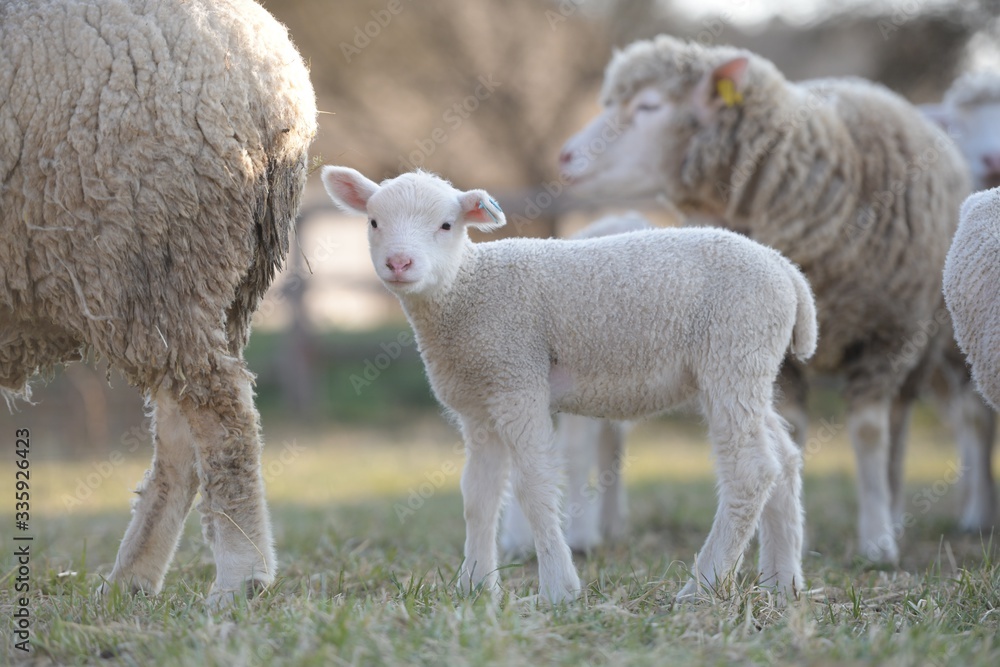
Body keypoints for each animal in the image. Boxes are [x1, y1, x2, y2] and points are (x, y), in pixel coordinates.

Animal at [0, 0, 316, 604]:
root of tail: (275, 74)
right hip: (207, 287)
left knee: (222, 415)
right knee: (181, 436)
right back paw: (131, 581)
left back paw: (240, 576)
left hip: (150, 259)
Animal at [560, 35, 972, 564]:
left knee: (896, 433)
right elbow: (793, 430)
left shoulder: (885, 338)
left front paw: (877, 542)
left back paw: (894, 513)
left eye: (649, 106)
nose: (565, 157)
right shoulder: (785, 362)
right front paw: (798, 537)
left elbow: (868, 435)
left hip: (920, 346)